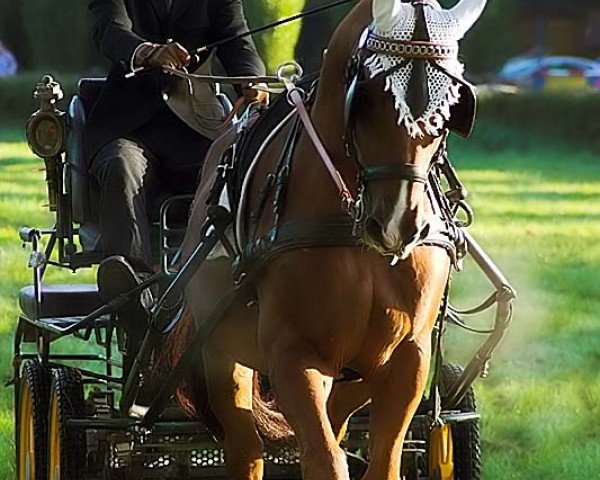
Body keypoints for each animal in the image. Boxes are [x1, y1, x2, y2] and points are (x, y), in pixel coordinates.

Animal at [166, 0, 486, 480]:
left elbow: (381, 459)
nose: (396, 223)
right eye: (368, 96)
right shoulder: (293, 355)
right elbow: (324, 459)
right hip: (221, 350)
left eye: (450, 106)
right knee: (246, 449)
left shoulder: (407, 358)